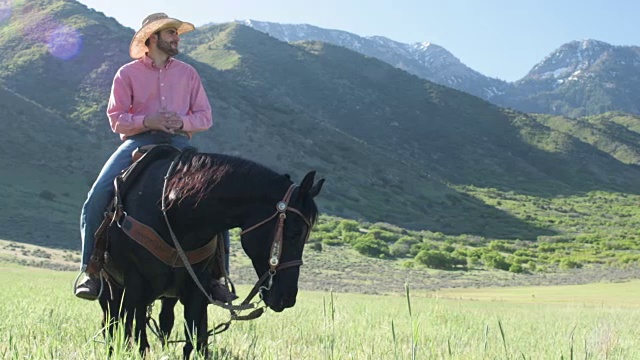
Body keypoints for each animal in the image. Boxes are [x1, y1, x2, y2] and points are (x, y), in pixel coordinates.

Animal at [99, 149, 324, 358]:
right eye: (294, 233)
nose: (287, 297)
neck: (173, 215)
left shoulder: (197, 290)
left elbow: (192, 341)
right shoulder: (136, 288)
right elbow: (137, 339)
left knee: (164, 322)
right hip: (111, 289)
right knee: (111, 323)